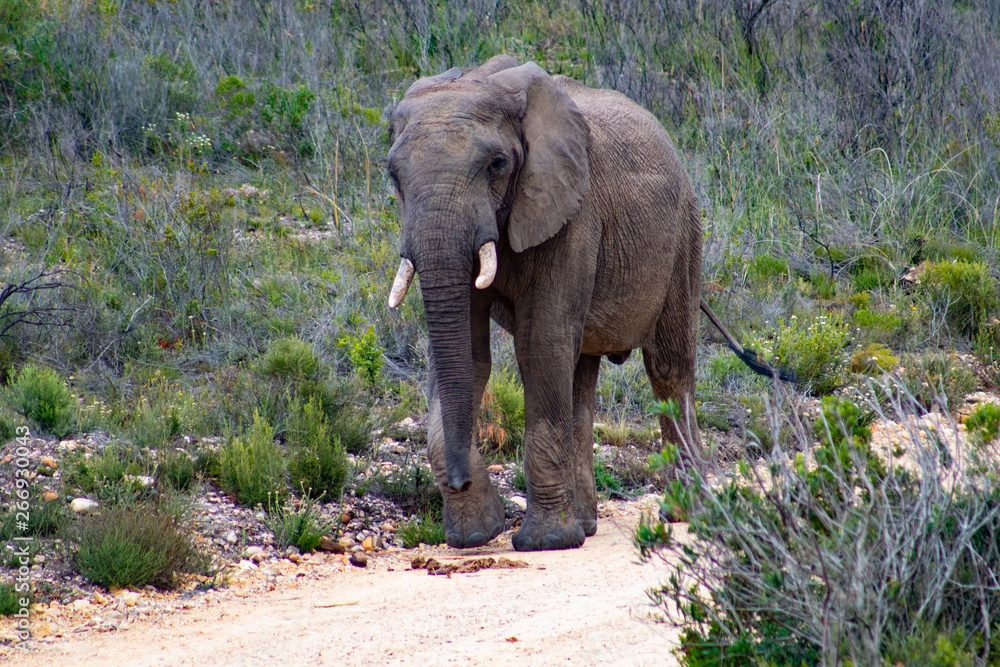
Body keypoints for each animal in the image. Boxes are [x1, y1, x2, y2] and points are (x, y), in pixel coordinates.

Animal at [385, 55, 772, 551]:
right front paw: (474, 534)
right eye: (394, 176)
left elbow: (540, 345)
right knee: (581, 374)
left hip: (685, 235)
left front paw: (543, 543)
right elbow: (469, 357)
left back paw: (689, 513)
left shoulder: (573, 212)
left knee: (669, 368)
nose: (458, 480)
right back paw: (586, 524)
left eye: (496, 164)